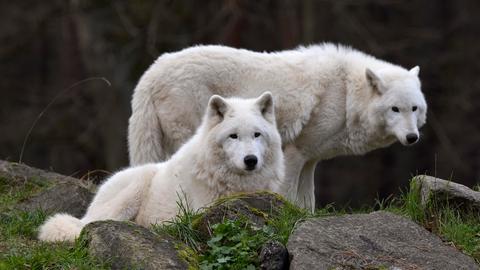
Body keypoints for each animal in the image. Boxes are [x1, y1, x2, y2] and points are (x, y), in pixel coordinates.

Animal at [39, 92, 284, 242]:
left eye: (257, 134)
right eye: (233, 136)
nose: (250, 160)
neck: (240, 183)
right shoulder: (203, 208)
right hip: (136, 186)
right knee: (88, 225)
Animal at [128, 42, 428, 211]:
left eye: (414, 108)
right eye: (395, 109)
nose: (412, 137)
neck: (346, 94)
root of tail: (151, 72)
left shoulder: (311, 160)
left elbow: (307, 202)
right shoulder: (294, 154)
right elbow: (288, 195)